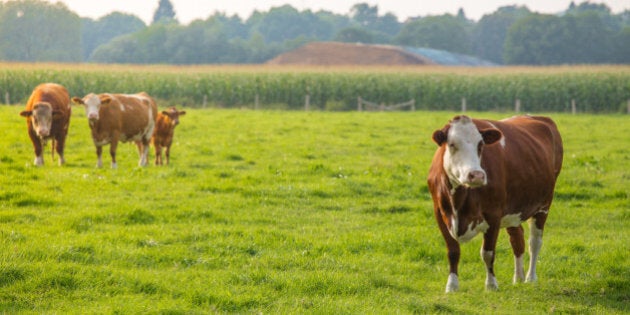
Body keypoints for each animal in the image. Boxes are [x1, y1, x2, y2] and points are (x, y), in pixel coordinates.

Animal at [428, 115, 564, 294]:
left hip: (544, 205)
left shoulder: (494, 214)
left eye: (481, 145)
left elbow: (488, 252)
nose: (477, 175)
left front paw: (491, 284)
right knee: (517, 239)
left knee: (534, 242)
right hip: (513, 209)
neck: (459, 201)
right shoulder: (440, 213)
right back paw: (518, 277)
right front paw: (452, 286)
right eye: (451, 144)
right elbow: (453, 251)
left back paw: (530, 277)